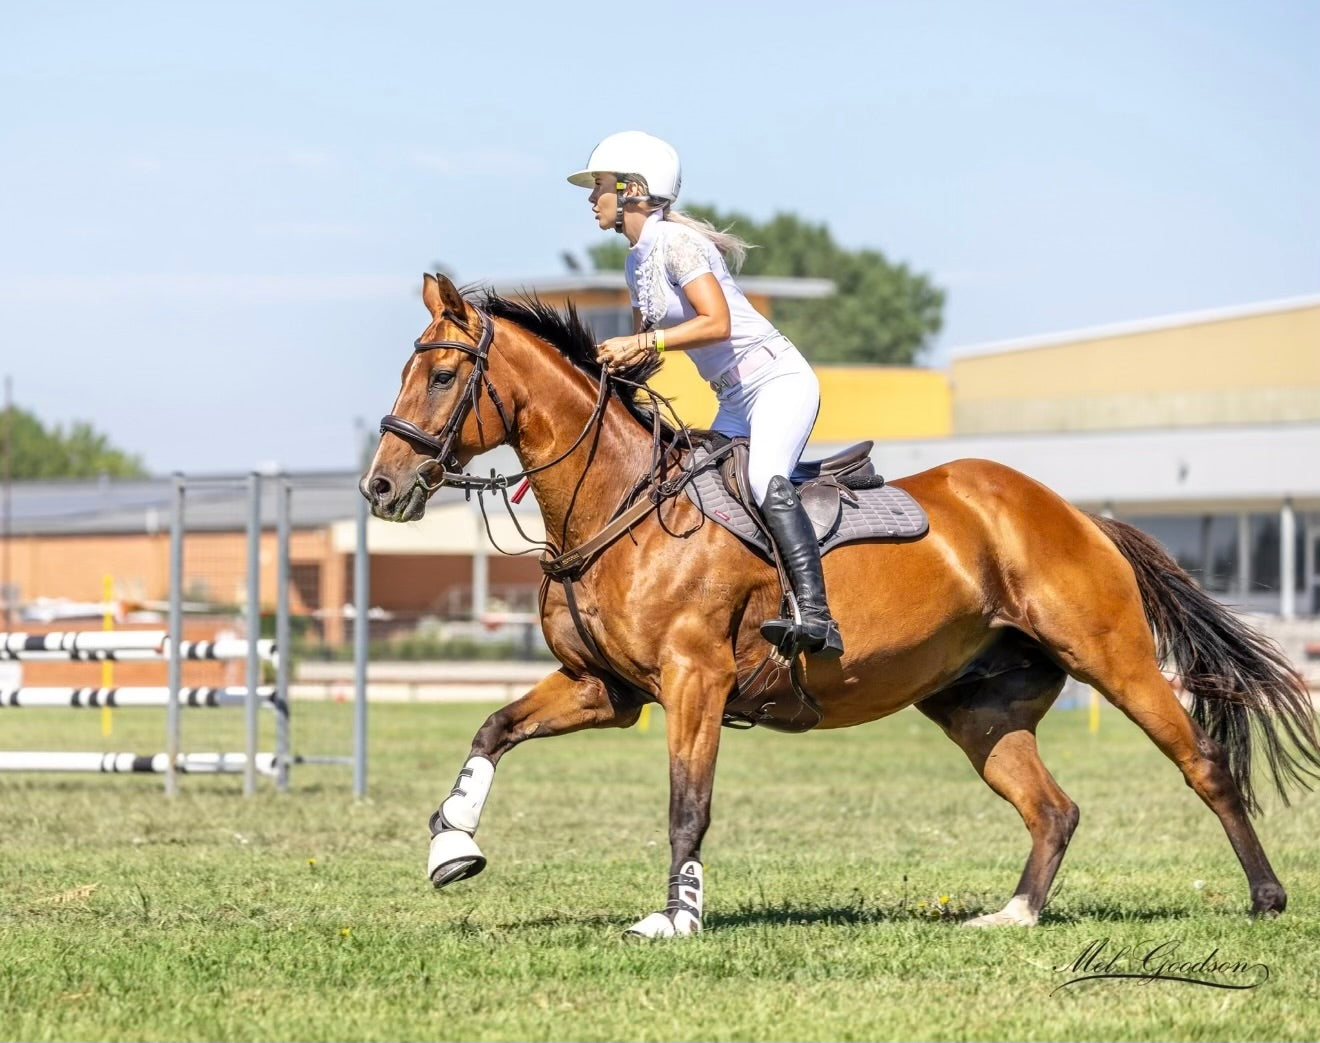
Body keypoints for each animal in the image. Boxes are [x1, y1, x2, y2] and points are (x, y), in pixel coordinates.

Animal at [360, 273, 1320, 937]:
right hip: (977, 705)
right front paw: (452, 848)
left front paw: (677, 917)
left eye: (441, 375)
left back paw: (1266, 896)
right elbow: (492, 728)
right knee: (1052, 807)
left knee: (1202, 763)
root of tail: (1079, 513)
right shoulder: (607, 689)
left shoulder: (694, 679)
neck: (617, 503)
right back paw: (1014, 913)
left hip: (1110, 655)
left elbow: (686, 803)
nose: (381, 486)